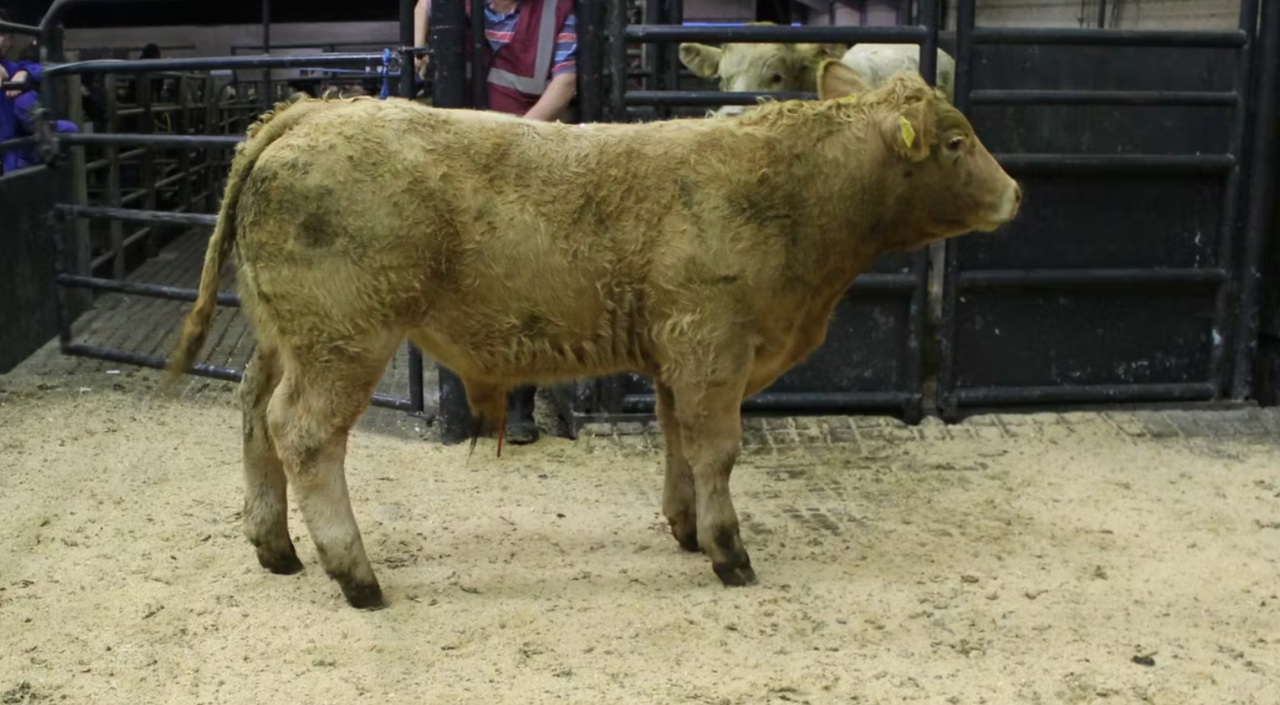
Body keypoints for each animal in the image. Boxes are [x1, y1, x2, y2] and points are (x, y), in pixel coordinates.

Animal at [165, 62, 1022, 610]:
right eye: (955, 142)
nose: (1015, 191)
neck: (792, 192)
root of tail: (318, 108)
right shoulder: (713, 347)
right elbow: (717, 451)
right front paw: (730, 551)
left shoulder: (678, 359)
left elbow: (679, 443)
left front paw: (685, 528)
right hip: (346, 337)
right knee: (303, 432)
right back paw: (356, 574)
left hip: (286, 335)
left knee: (254, 413)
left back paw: (276, 547)